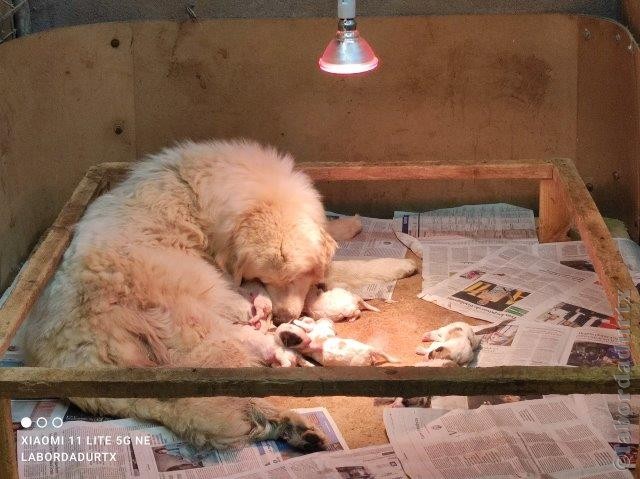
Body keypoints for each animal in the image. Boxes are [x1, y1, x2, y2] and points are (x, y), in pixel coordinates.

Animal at [21, 138, 416, 450]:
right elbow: (344, 269)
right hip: (207, 335)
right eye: (263, 278)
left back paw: (292, 426)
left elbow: (329, 236)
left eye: (296, 277)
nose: (284, 318)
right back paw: (289, 404)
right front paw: (398, 265)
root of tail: (78, 355)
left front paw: (347, 225)